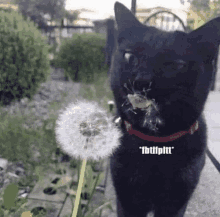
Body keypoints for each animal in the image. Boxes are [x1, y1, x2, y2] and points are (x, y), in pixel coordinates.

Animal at [109, 1, 219, 217]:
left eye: (174, 65)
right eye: (130, 56)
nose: (141, 80)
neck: (154, 145)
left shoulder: (175, 203)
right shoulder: (126, 200)